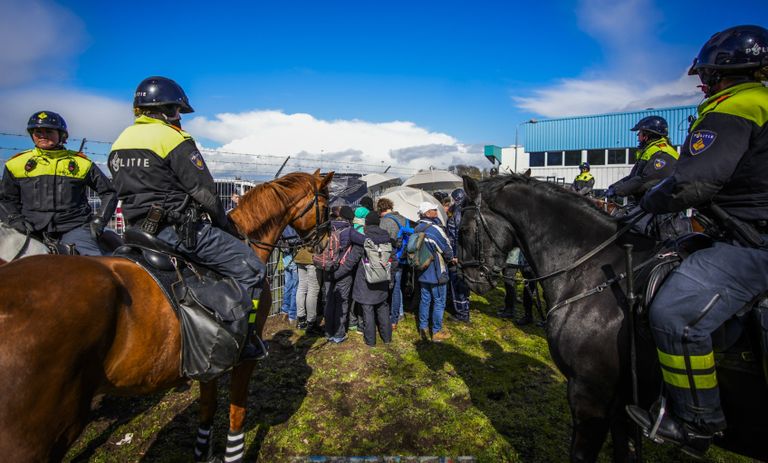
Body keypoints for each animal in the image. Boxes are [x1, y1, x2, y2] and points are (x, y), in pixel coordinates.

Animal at [0, 170, 332, 463]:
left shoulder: (211, 356)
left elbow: (207, 408)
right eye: (327, 204)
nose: (327, 243)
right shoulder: (244, 357)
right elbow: (236, 415)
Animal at [456, 175, 768, 463]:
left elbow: (582, 455)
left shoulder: (590, 395)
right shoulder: (623, 406)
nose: (469, 279)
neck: (593, 271)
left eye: (464, 229)